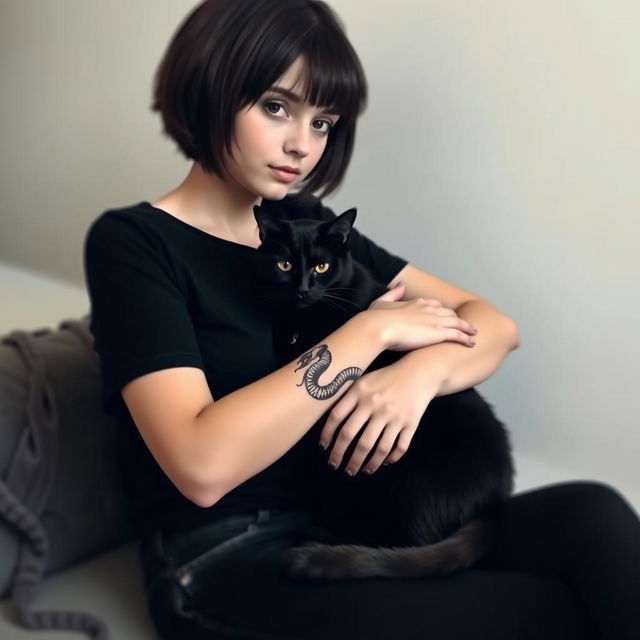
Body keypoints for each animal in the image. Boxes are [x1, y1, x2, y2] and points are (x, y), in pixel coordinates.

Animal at [251, 205, 516, 580]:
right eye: (284, 264)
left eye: (322, 266)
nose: (301, 290)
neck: (301, 322)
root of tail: (496, 502)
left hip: (411, 482)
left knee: (408, 542)